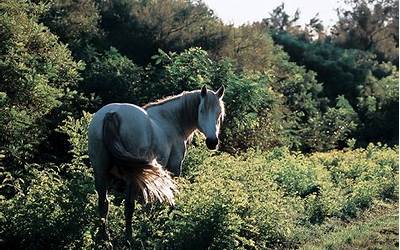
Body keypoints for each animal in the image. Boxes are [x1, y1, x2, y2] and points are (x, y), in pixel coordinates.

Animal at [88, 85, 225, 243]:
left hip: (100, 173)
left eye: (219, 113)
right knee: (128, 206)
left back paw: (105, 239)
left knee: (103, 204)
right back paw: (129, 239)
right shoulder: (174, 167)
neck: (171, 120)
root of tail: (111, 114)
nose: (212, 142)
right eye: (201, 110)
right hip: (131, 176)